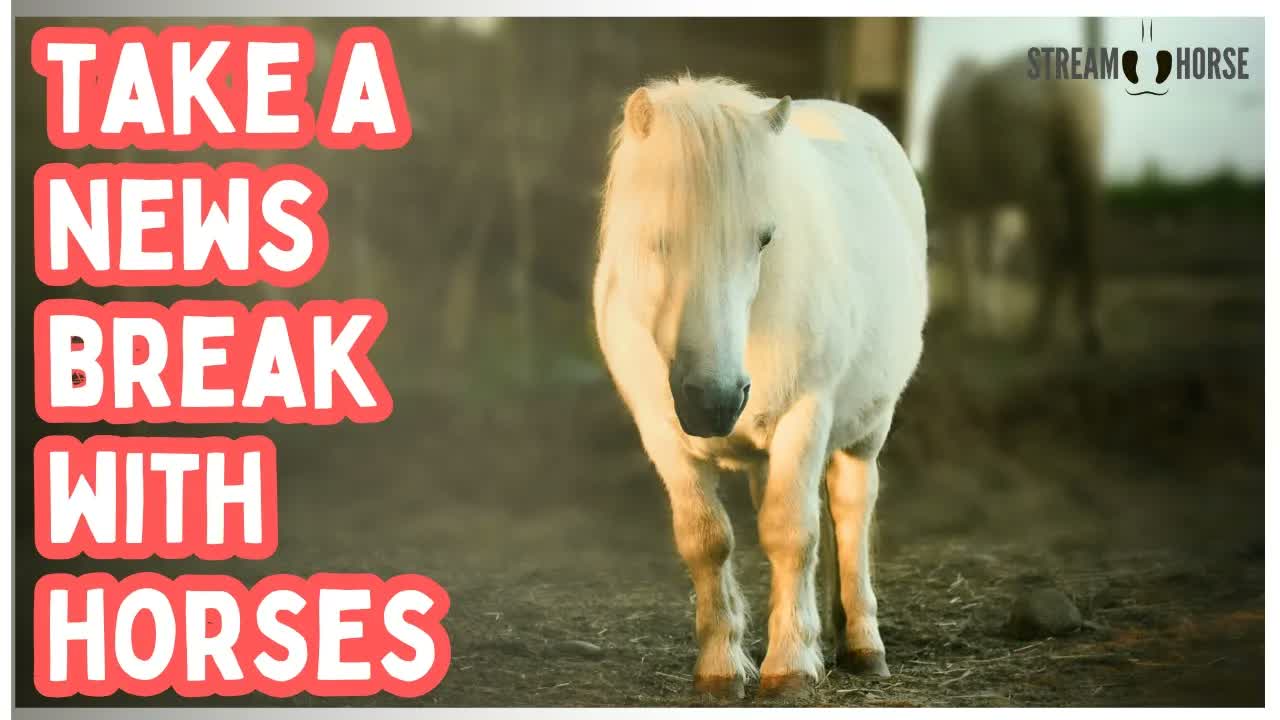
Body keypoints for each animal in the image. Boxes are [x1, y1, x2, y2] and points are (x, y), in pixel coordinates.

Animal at [592, 76, 928, 698]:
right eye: (657, 238)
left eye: (765, 240)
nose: (714, 400)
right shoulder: (661, 430)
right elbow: (706, 539)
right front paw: (721, 667)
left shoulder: (806, 415)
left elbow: (791, 533)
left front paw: (791, 666)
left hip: (868, 427)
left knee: (851, 508)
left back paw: (862, 643)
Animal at [926, 55, 1103, 352]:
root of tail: (1064, 88)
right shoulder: (988, 208)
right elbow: (987, 258)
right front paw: (986, 319)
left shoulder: (958, 203)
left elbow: (968, 258)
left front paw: (972, 318)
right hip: (1082, 171)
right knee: (1083, 245)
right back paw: (1088, 334)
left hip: (1036, 189)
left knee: (1055, 250)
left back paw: (1038, 332)